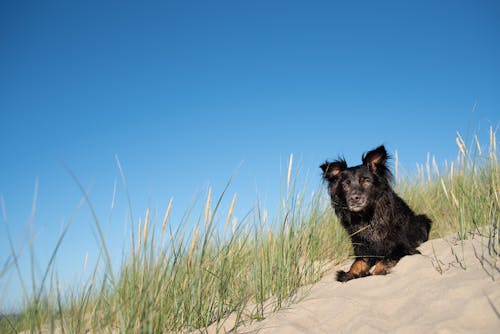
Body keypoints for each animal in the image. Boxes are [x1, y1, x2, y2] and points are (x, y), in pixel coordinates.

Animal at [322, 145, 432, 282]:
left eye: (366, 181)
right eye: (345, 185)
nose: (354, 198)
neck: (366, 216)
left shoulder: (402, 247)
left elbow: (386, 259)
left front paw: (376, 272)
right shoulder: (362, 248)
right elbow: (357, 263)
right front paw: (348, 274)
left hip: (423, 220)